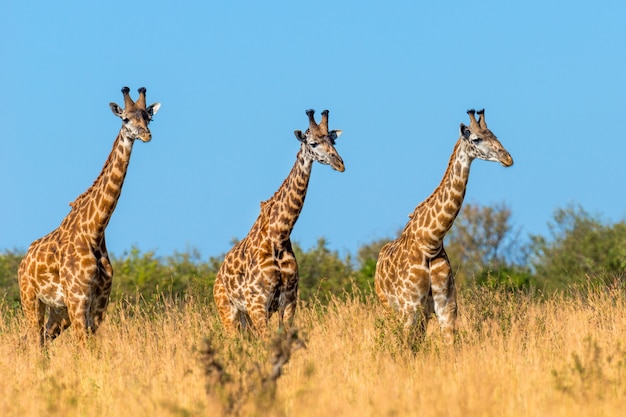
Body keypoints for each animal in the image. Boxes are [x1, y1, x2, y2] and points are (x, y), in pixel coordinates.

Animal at [17, 85, 161, 344]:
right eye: (125, 119)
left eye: (148, 117)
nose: (146, 135)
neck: (95, 230)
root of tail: (23, 262)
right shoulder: (77, 298)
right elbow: (82, 345)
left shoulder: (100, 302)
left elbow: (93, 346)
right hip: (31, 299)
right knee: (34, 339)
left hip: (58, 311)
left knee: (42, 340)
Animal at [213, 109, 342, 336]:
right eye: (313, 143)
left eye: (333, 141)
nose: (340, 164)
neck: (279, 236)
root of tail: (217, 278)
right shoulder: (258, 302)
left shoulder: (289, 300)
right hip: (228, 312)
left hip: (245, 318)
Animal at [370, 109, 512, 342]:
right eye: (476, 139)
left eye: (495, 135)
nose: (507, 158)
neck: (431, 240)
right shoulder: (410, 306)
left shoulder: (446, 306)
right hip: (390, 307)